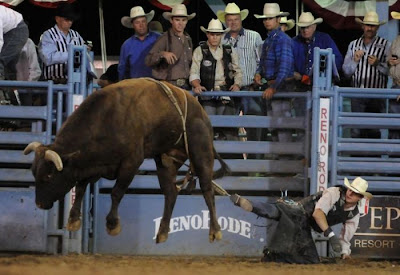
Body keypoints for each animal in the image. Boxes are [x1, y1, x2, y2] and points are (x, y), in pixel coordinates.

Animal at [25, 77, 230, 244]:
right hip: (166, 160)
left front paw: (112, 224)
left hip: (201, 152)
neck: (106, 118)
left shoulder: (131, 162)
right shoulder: (94, 165)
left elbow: (117, 192)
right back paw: (163, 232)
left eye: (49, 175)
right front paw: (74, 219)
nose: (39, 204)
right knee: (170, 192)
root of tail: (202, 113)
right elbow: (82, 187)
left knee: (207, 190)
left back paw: (215, 230)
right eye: (34, 173)